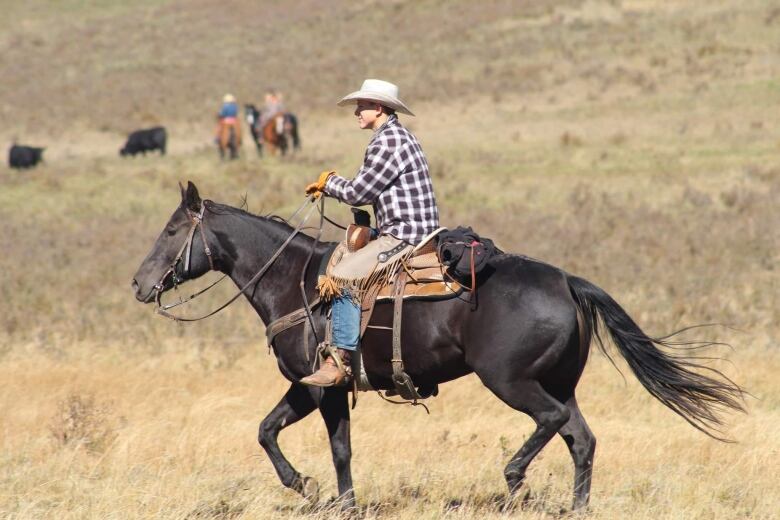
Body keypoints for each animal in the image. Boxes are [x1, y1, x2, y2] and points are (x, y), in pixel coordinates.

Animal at [133, 183, 744, 512]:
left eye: (171, 231)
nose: (140, 283)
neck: (295, 280)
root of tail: (568, 281)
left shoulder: (320, 387)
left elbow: (319, 445)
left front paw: (318, 490)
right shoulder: (313, 390)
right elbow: (285, 435)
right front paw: (325, 496)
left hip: (511, 381)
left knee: (550, 425)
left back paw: (513, 479)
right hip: (559, 383)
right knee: (581, 440)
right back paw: (575, 508)